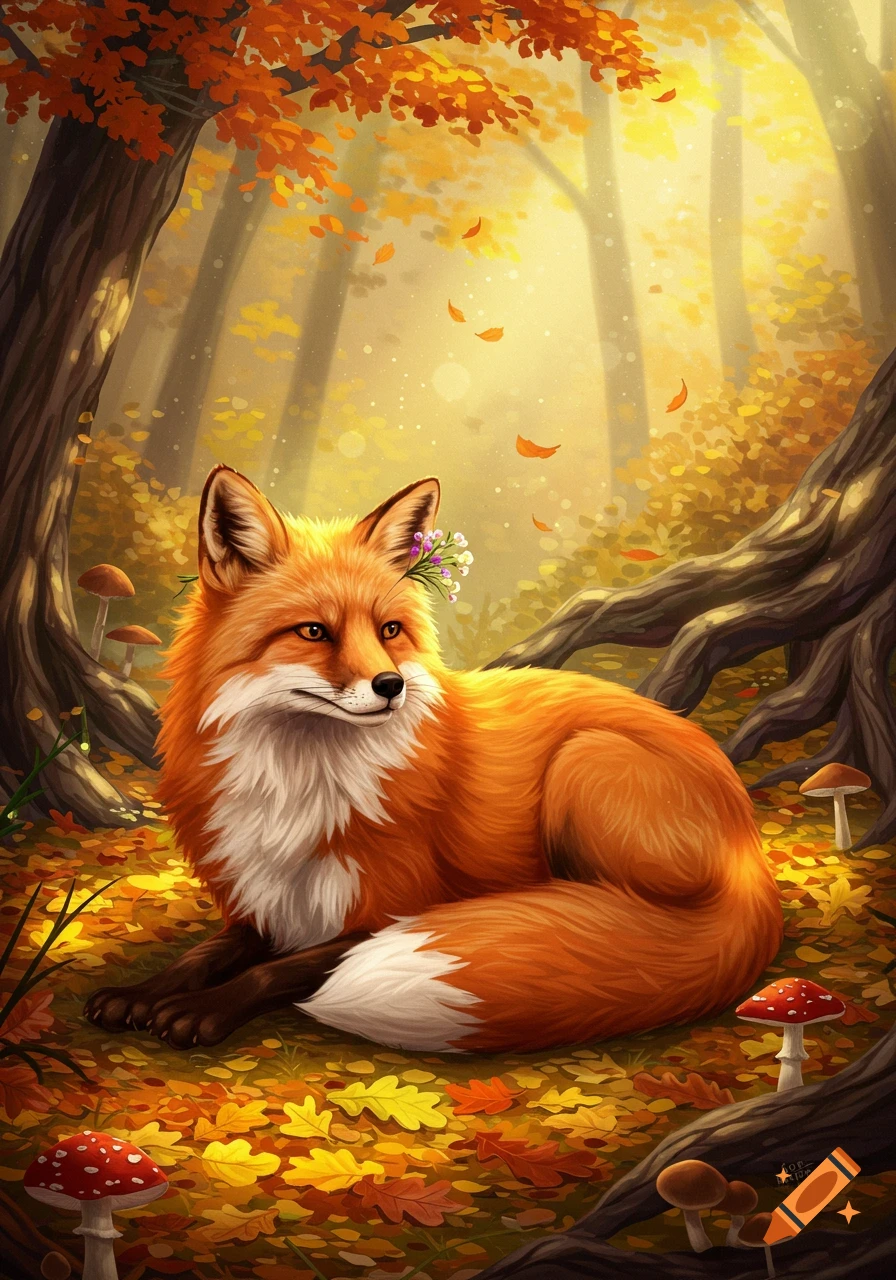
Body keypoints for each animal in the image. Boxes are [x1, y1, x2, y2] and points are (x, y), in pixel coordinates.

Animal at [86, 465, 782, 1054]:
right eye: (314, 632)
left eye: (389, 630)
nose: (390, 685)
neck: (298, 783)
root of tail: (749, 846)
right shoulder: (268, 901)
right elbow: (204, 955)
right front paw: (143, 993)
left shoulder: (387, 909)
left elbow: (277, 972)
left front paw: (199, 1009)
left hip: (584, 760)